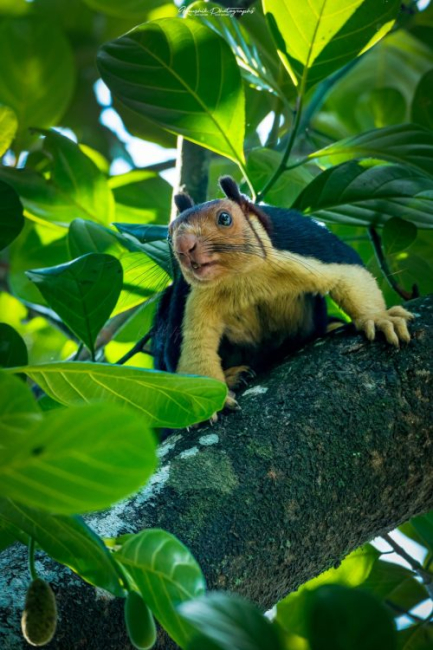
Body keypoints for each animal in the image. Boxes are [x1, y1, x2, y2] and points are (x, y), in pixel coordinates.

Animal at [152, 177, 412, 410]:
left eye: (224, 218)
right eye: (169, 235)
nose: (183, 247)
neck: (243, 278)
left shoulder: (303, 242)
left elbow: (349, 271)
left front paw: (379, 319)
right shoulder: (188, 299)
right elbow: (189, 344)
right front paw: (208, 400)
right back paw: (233, 375)